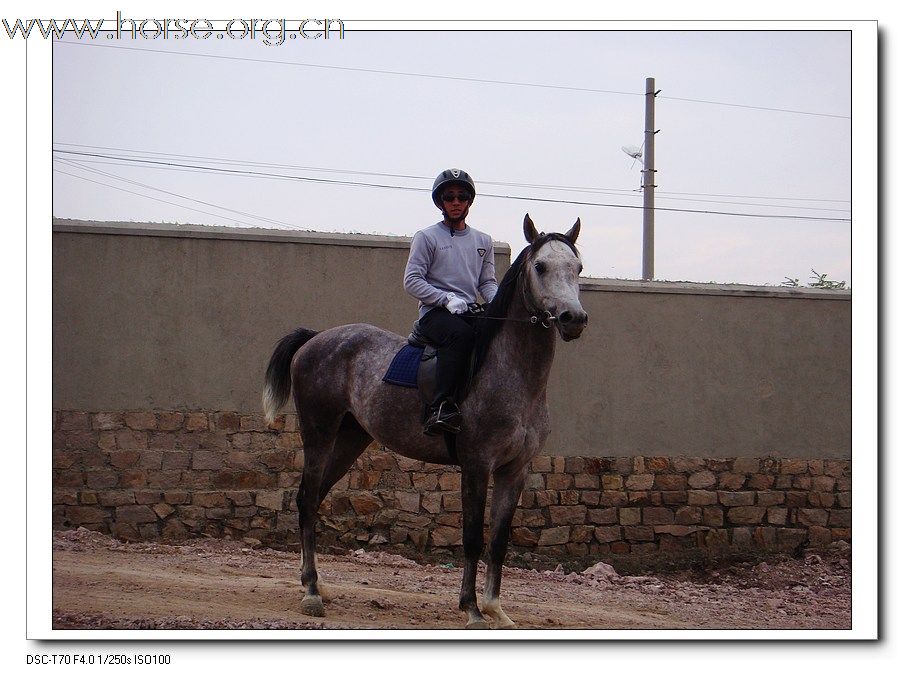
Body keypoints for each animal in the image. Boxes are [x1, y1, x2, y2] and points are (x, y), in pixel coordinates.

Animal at [262, 214, 588, 632]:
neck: (511, 372)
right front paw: (471, 609)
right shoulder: (477, 465)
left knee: (313, 499)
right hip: (318, 433)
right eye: (541, 267)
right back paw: (312, 593)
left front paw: (497, 609)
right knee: (305, 499)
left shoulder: (516, 469)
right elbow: (472, 537)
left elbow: (499, 541)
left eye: (577, 268)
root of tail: (315, 339)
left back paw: (313, 583)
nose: (573, 319)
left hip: (349, 440)